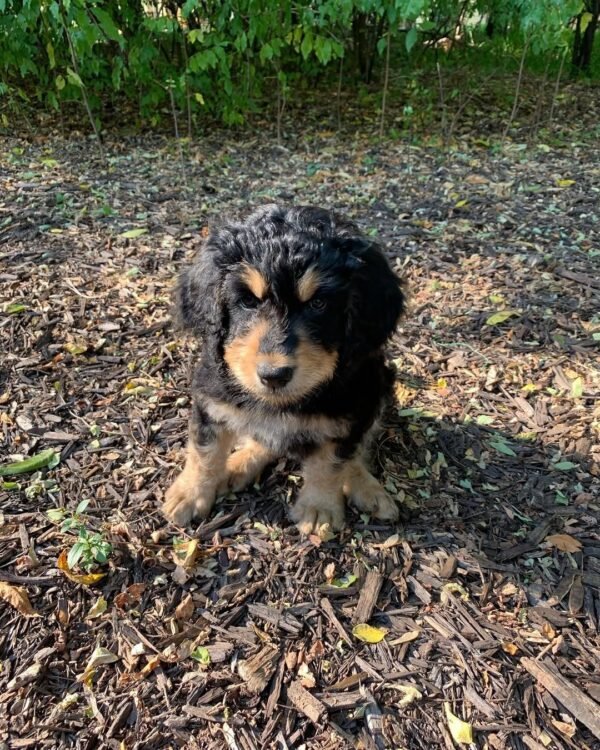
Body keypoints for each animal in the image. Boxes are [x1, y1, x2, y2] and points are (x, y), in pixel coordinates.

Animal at [162, 206, 406, 536]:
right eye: (248, 301)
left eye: (318, 303)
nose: (273, 376)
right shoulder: (211, 400)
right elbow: (205, 451)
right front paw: (190, 494)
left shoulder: (348, 415)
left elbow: (330, 463)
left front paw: (318, 508)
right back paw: (240, 463)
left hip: (377, 385)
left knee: (358, 449)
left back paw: (366, 487)